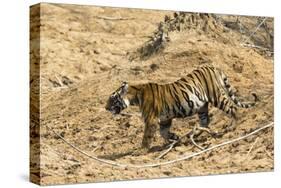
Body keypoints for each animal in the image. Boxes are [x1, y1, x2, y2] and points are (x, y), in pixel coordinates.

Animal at [104, 65, 256, 151]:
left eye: (112, 99)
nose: (105, 108)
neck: (135, 97)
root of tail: (214, 67)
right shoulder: (164, 119)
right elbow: (163, 133)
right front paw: (175, 138)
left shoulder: (151, 120)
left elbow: (147, 137)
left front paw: (141, 151)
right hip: (202, 106)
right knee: (205, 121)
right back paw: (195, 134)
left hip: (217, 97)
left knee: (232, 108)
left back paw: (232, 126)